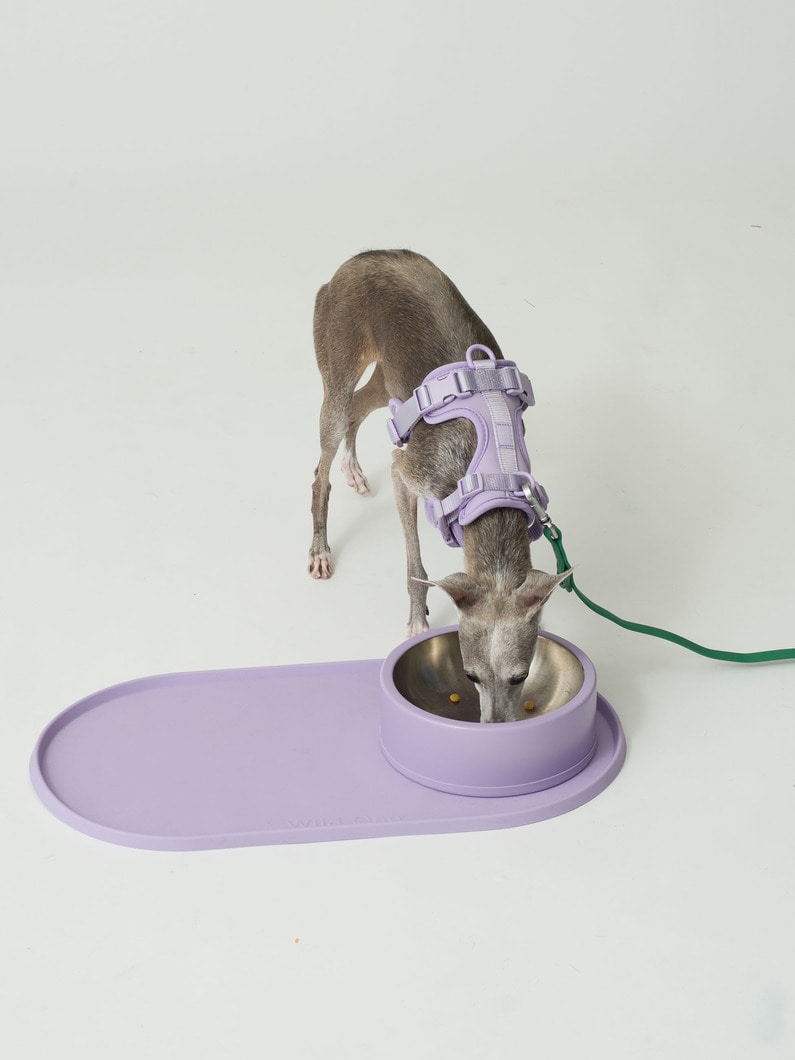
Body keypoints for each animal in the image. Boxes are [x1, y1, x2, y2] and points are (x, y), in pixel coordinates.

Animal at [308, 249, 569, 722]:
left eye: (520, 676)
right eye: (470, 676)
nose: (495, 729)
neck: (491, 483)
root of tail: (359, 258)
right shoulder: (407, 475)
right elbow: (415, 563)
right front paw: (417, 621)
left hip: (390, 379)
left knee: (359, 409)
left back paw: (352, 467)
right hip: (338, 359)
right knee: (323, 464)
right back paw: (320, 548)